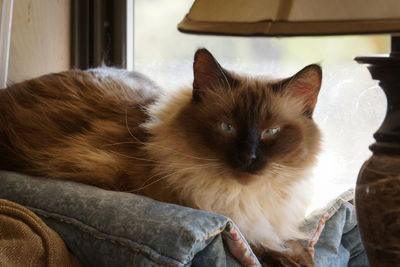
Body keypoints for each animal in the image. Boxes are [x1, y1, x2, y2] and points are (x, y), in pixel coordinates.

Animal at [0, 48, 320, 266]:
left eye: (271, 131)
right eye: (227, 127)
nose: (248, 158)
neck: (243, 195)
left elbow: (293, 245)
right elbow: (260, 249)